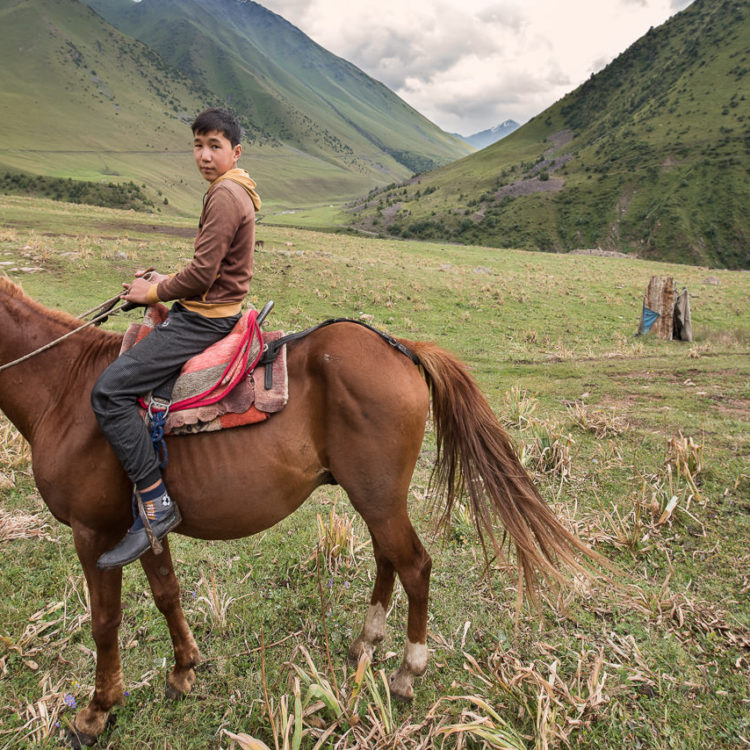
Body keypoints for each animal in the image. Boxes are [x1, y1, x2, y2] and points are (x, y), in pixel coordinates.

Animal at [0, 280, 604, 748]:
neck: (65, 389)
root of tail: (401, 348)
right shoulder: (143, 525)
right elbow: (167, 592)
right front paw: (183, 670)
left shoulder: (95, 533)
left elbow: (105, 623)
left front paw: (95, 712)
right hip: (375, 498)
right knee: (388, 558)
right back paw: (366, 644)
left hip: (377, 497)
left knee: (415, 565)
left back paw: (407, 672)